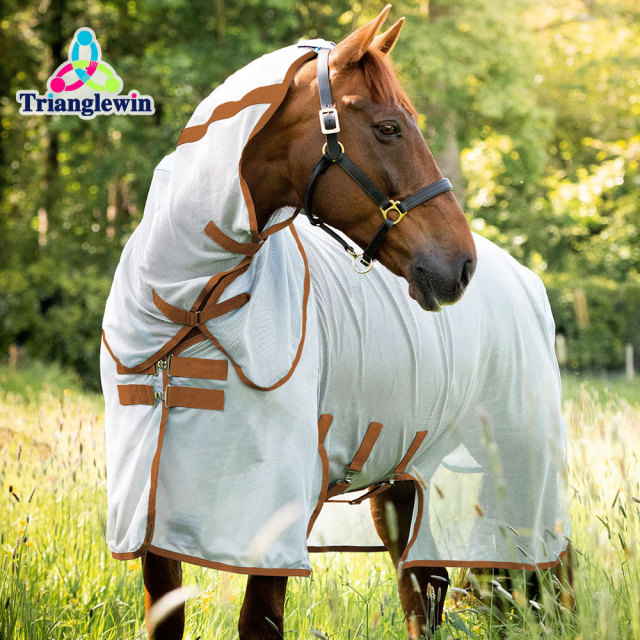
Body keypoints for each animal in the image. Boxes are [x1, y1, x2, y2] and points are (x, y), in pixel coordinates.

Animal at [100, 6, 570, 639]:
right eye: (389, 128)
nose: (460, 265)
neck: (189, 308)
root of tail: (524, 279)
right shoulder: (151, 521)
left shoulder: (277, 516)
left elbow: (259, 621)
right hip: (403, 489)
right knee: (423, 594)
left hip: (521, 477)